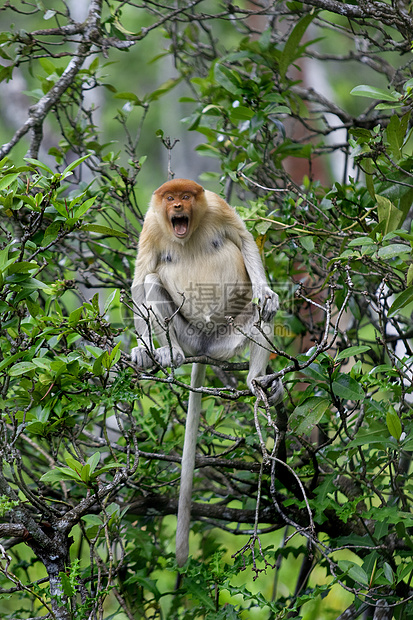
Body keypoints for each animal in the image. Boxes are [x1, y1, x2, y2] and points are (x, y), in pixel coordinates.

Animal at [130, 179, 282, 568]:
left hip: (230, 335)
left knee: (262, 314)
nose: (178, 206)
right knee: (151, 279)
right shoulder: (151, 228)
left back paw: (257, 382)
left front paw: (267, 292)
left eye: (186, 196)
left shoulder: (216, 206)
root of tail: (203, 348)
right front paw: (139, 349)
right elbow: (140, 282)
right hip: (185, 333)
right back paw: (168, 352)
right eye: (170, 198)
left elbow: (243, 238)